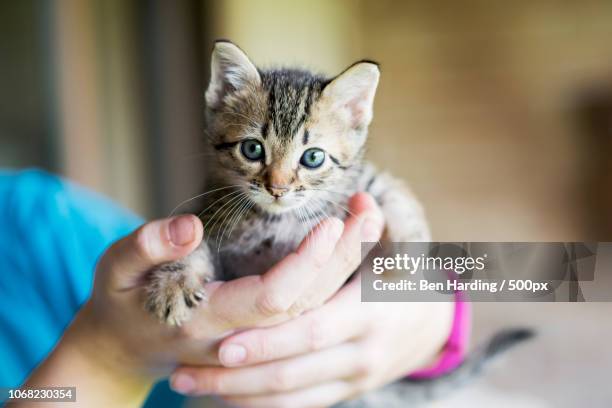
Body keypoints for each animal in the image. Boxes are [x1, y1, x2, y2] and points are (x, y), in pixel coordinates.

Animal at [143, 39, 430, 324]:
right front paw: (173, 282)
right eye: (252, 149)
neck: (279, 220)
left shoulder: (355, 184)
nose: (277, 189)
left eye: (313, 157)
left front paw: (410, 244)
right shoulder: (213, 214)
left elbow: (385, 185)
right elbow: (197, 242)